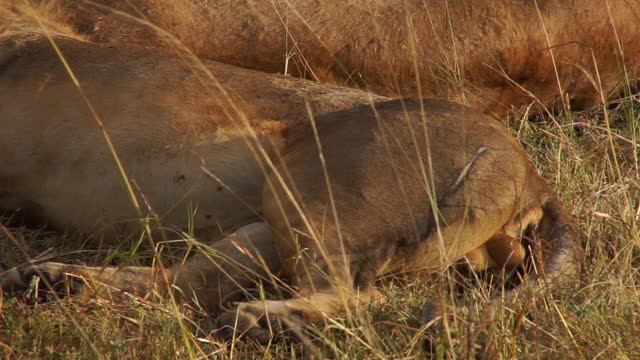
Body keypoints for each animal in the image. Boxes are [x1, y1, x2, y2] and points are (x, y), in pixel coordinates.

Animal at [0, 35, 576, 342]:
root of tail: (530, 169)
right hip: (269, 222)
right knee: (187, 281)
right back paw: (53, 281)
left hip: (315, 187)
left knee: (359, 297)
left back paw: (261, 321)